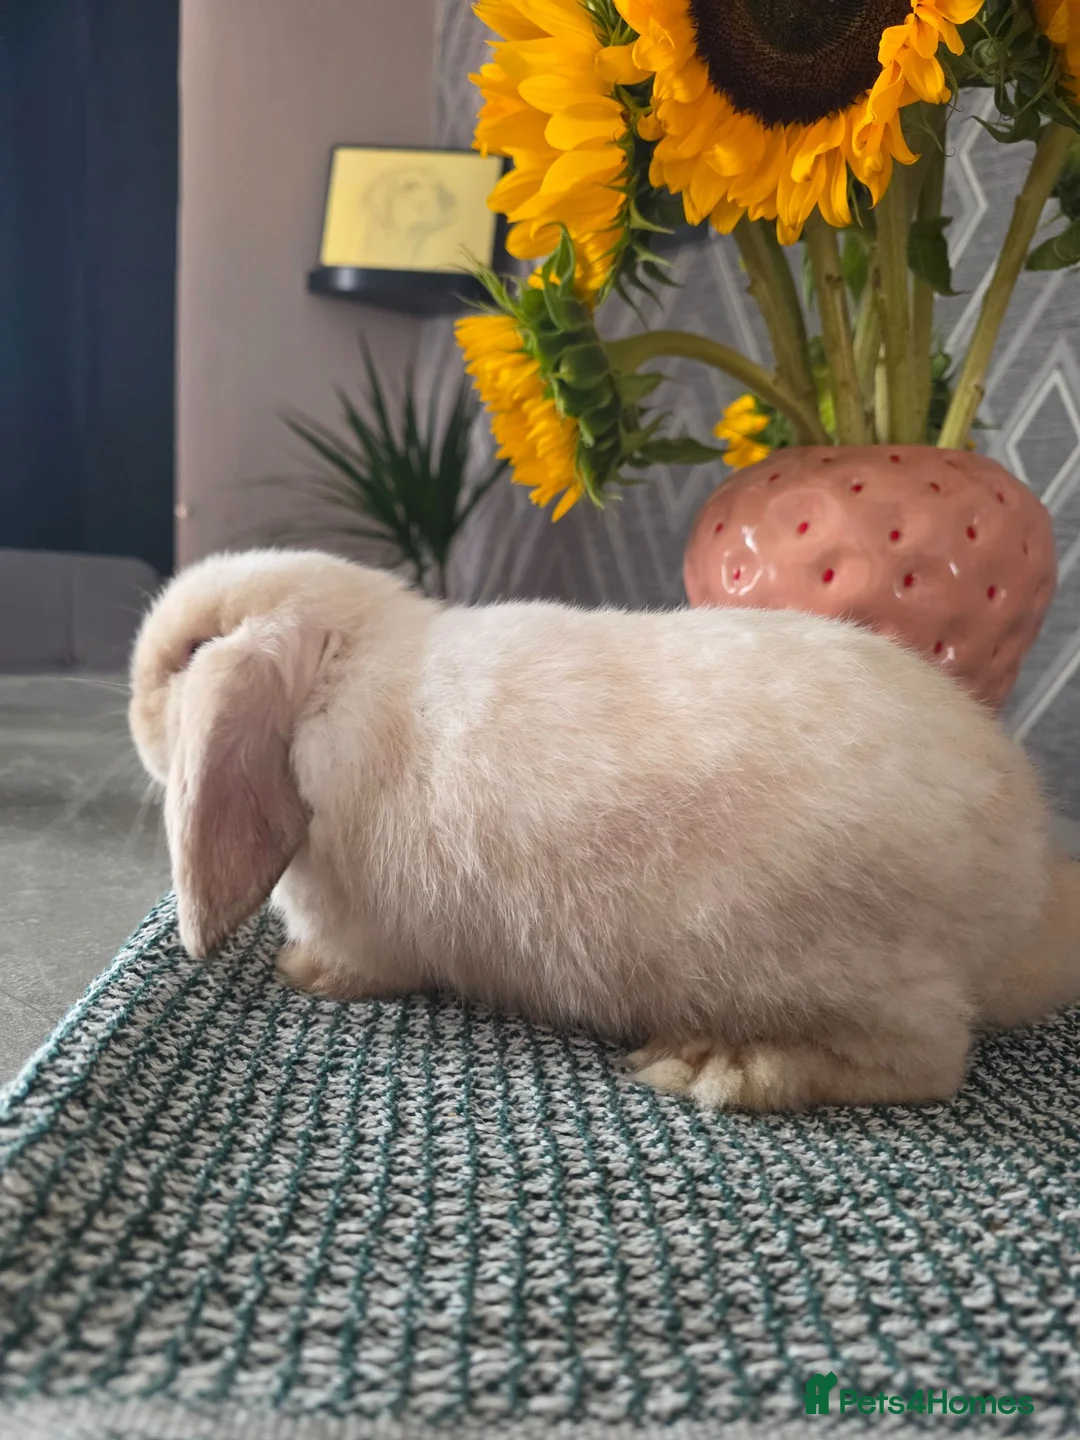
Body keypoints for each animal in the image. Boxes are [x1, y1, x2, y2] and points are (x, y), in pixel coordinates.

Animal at [128, 547, 1080, 1113]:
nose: (133, 704)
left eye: (190, 653)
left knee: (928, 1066)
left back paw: (715, 1066)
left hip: (830, 976)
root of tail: (1020, 893)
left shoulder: (365, 934)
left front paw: (300, 975)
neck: (346, 670)